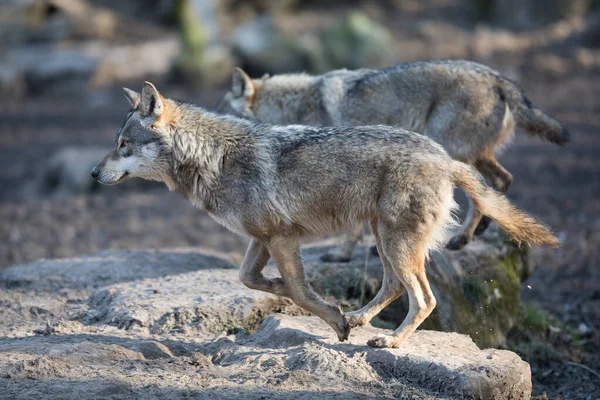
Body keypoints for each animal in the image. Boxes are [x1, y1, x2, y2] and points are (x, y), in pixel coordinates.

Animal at [91, 83, 560, 348]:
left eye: (123, 146)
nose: (94, 173)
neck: (213, 158)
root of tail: (446, 159)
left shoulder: (282, 238)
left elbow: (299, 292)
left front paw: (331, 318)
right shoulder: (262, 238)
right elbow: (248, 279)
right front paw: (287, 291)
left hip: (396, 243)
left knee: (424, 298)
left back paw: (391, 341)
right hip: (385, 239)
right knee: (394, 285)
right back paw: (362, 319)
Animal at [218, 57, 568, 260]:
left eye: (226, 117)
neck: (296, 107)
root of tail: (498, 77)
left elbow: (352, 229)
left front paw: (343, 255)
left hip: (447, 151)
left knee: (487, 184)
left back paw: (461, 238)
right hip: (463, 155)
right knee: (500, 180)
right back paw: (475, 232)